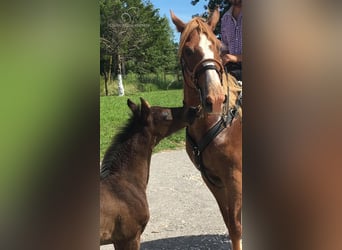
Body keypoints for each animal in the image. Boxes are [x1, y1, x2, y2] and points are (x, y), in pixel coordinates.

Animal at [171, 7, 243, 250]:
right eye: (188, 50)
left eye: (219, 48)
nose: (216, 99)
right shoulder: (212, 180)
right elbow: (230, 223)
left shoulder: (235, 179)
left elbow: (237, 226)